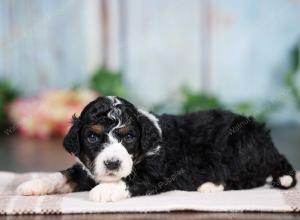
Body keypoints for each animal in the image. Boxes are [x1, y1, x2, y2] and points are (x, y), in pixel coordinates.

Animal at [17, 95, 298, 202]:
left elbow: (133, 178)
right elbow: (65, 174)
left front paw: (105, 190)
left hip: (241, 146)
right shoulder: (88, 167)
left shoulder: (160, 172)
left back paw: (210, 185)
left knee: (249, 177)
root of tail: (268, 141)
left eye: (130, 136)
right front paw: (33, 184)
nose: (112, 164)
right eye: (93, 137)